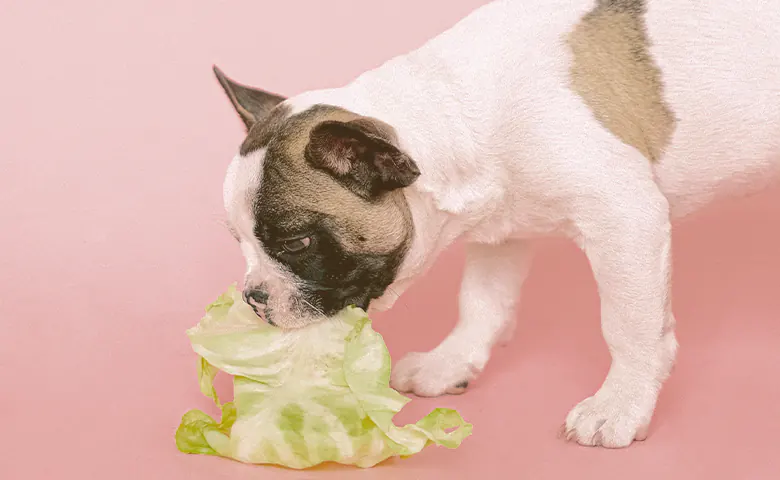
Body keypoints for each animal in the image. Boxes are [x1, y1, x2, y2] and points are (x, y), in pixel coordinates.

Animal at [213, 0, 780, 448]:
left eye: (297, 241)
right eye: (239, 242)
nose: (253, 296)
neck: (454, 112)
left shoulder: (626, 217)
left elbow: (627, 325)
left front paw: (620, 403)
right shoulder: (500, 233)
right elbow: (481, 302)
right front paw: (452, 362)